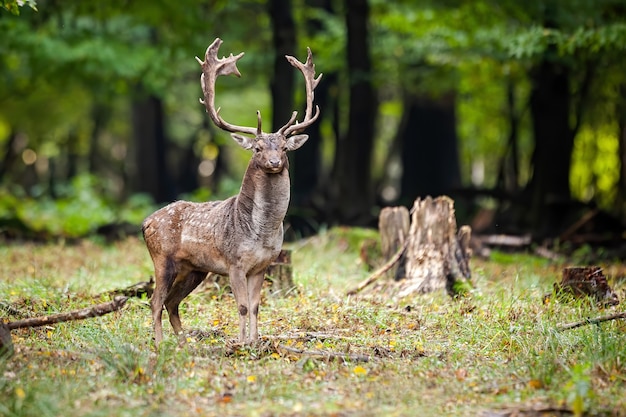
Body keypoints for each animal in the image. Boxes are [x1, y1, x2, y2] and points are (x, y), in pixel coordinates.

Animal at [140, 38, 320, 344]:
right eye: (257, 148)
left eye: (284, 148)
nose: (274, 162)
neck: (261, 232)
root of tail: (145, 222)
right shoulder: (234, 262)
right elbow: (243, 305)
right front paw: (241, 343)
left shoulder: (263, 265)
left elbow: (257, 305)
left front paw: (255, 342)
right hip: (162, 259)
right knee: (155, 301)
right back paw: (161, 343)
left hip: (195, 269)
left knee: (172, 301)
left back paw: (184, 343)